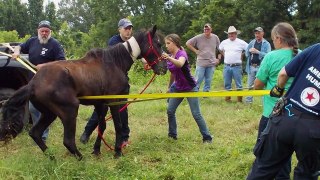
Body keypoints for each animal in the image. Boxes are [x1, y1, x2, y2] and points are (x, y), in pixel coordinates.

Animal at [0, 25, 168, 159]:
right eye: (158, 44)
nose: (163, 68)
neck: (114, 62)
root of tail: (34, 83)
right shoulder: (114, 102)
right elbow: (118, 126)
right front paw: (117, 152)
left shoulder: (100, 104)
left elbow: (102, 126)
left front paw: (97, 150)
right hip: (69, 110)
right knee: (67, 141)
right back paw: (80, 159)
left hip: (49, 113)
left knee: (35, 133)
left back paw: (52, 158)